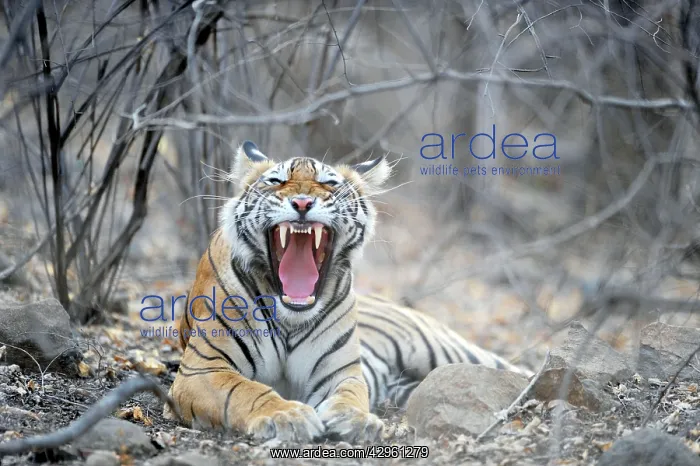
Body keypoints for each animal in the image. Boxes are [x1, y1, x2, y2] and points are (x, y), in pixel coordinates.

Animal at [163, 141, 530, 443]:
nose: (302, 202)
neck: (290, 317)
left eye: (330, 183)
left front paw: (356, 420)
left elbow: (350, 394)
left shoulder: (340, 371)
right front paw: (286, 415)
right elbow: (245, 390)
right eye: (276, 181)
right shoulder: (203, 370)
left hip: (447, 350)